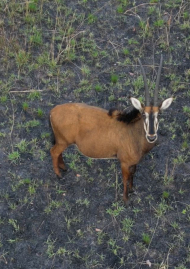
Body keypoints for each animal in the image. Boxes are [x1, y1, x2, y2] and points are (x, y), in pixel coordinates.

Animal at [49, 57, 173, 203]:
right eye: (143, 114)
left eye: (159, 114)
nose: (152, 136)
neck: (133, 132)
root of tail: (53, 110)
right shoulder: (124, 163)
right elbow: (125, 178)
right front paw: (126, 199)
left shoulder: (134, 162)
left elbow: (133, 173)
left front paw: (132, 189)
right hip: (63, 141)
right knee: (54, 152)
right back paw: (58, 174)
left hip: (62, 142)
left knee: (58, 153)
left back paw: (63, 168)